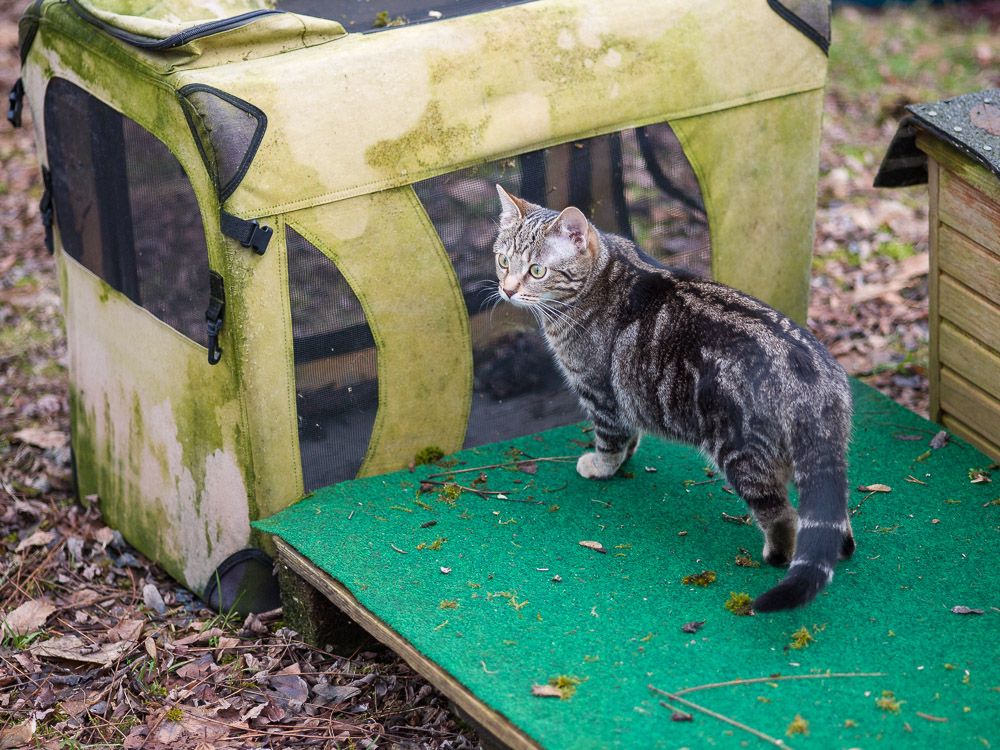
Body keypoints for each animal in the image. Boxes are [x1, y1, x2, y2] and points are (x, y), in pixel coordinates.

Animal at [492, 185, 852, 612]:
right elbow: (629, 436)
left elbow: (609, 441)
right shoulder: (624, 401)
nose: (507, 289)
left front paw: (600, 466)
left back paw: (777, 555)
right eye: (502, 261)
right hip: (814, 463)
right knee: (830, 514)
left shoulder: (601, 394)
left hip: (742, 455)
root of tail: (816, 378)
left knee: (783, 516)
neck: (596, 284)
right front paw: (625, 456)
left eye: (537, 271)